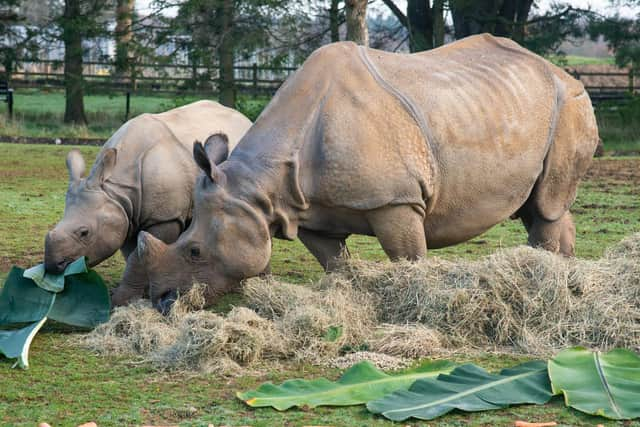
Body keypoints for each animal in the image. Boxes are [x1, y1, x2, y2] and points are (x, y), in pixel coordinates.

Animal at [44, 101, 252, 308]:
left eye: (84, 233)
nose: (53, 266)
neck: (115, 189)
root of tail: (244, 118)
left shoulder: (164, 218)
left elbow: (137, 256)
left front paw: (120, 301)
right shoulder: (125, 214)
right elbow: (135, 254)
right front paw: (140, 294)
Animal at [136, 36, 600, 310]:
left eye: (195, 251)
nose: (162, 300)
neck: (257, 187)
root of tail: (560, 71)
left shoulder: (396, 201)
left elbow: (408, 258)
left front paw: (415, 304)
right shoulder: (308, 210)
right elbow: (335, 263)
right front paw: (348, 297)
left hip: (571, 103)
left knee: (548, 203)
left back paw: (548, 281)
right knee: (539, 205)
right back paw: (559, 276)